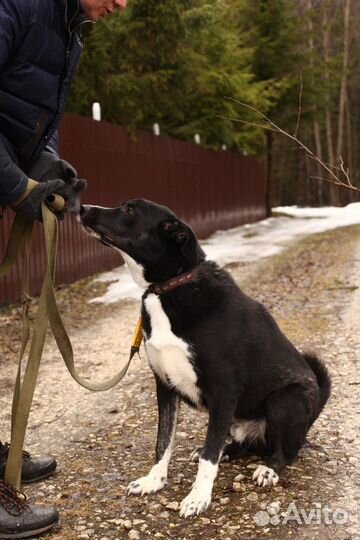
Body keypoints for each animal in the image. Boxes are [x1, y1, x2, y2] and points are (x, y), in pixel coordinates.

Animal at [79, 199, 332, 520]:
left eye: (130, 211)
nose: (81, 208)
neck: (171, 286)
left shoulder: (223, 392)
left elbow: (208, 458)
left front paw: (198, 497)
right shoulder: (165, 387)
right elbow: (163, 442)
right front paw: (154, 480)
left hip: (285, 399)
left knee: (286, 450)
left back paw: (269, 470)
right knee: (246, 445)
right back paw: (229, 451)